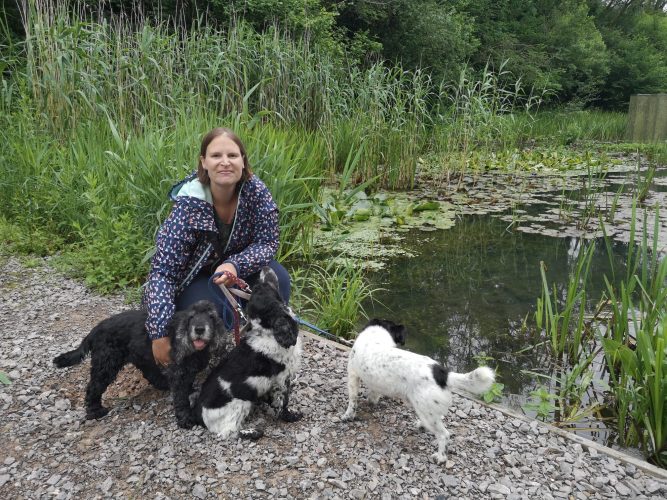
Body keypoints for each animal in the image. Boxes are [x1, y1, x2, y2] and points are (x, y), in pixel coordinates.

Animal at [52, 298, 230, 428]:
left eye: (211, 316)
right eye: (191, 317)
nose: (199, 329)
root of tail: (95, 330)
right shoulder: (178, 372)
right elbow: (180, 397)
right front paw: (185, 419)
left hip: (141, 357)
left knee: (149, 374)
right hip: (106, 363)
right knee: (93, 387)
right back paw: (95, 411)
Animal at [194, 268, 304, 440]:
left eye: (257, 288)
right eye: (262, 286)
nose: (265, 268)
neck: (269, 332)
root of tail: (200, 415)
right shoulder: (282, 379)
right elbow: (283, 402)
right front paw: (290, 416)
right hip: (240, 404)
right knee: (229, 432)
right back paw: (253, 432)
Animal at [344, 320, 496, 464]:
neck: (375, 336)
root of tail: (442, 374)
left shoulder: (352, 375)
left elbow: (352, 400)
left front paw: (348, 416)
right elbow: (374, 393)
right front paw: (371, 401)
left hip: (426, 411)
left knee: (444, 435)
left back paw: (440, 457)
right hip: (427, 409)